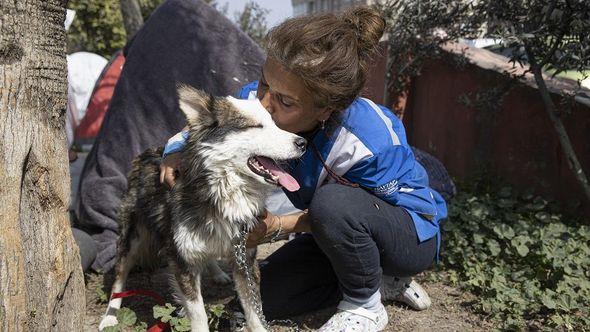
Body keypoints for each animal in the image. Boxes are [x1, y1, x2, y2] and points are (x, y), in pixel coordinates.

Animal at [99, 86, 308, 332]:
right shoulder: (183, 262)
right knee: (119, 277)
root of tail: (146, 153)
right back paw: (110, 316)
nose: (303, 142)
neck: (225, 193)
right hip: (132, 236)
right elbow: (198, 315)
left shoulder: (245, 258)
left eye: (274, 123)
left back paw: (217, 273)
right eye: (255, 126)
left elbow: (254, 311)